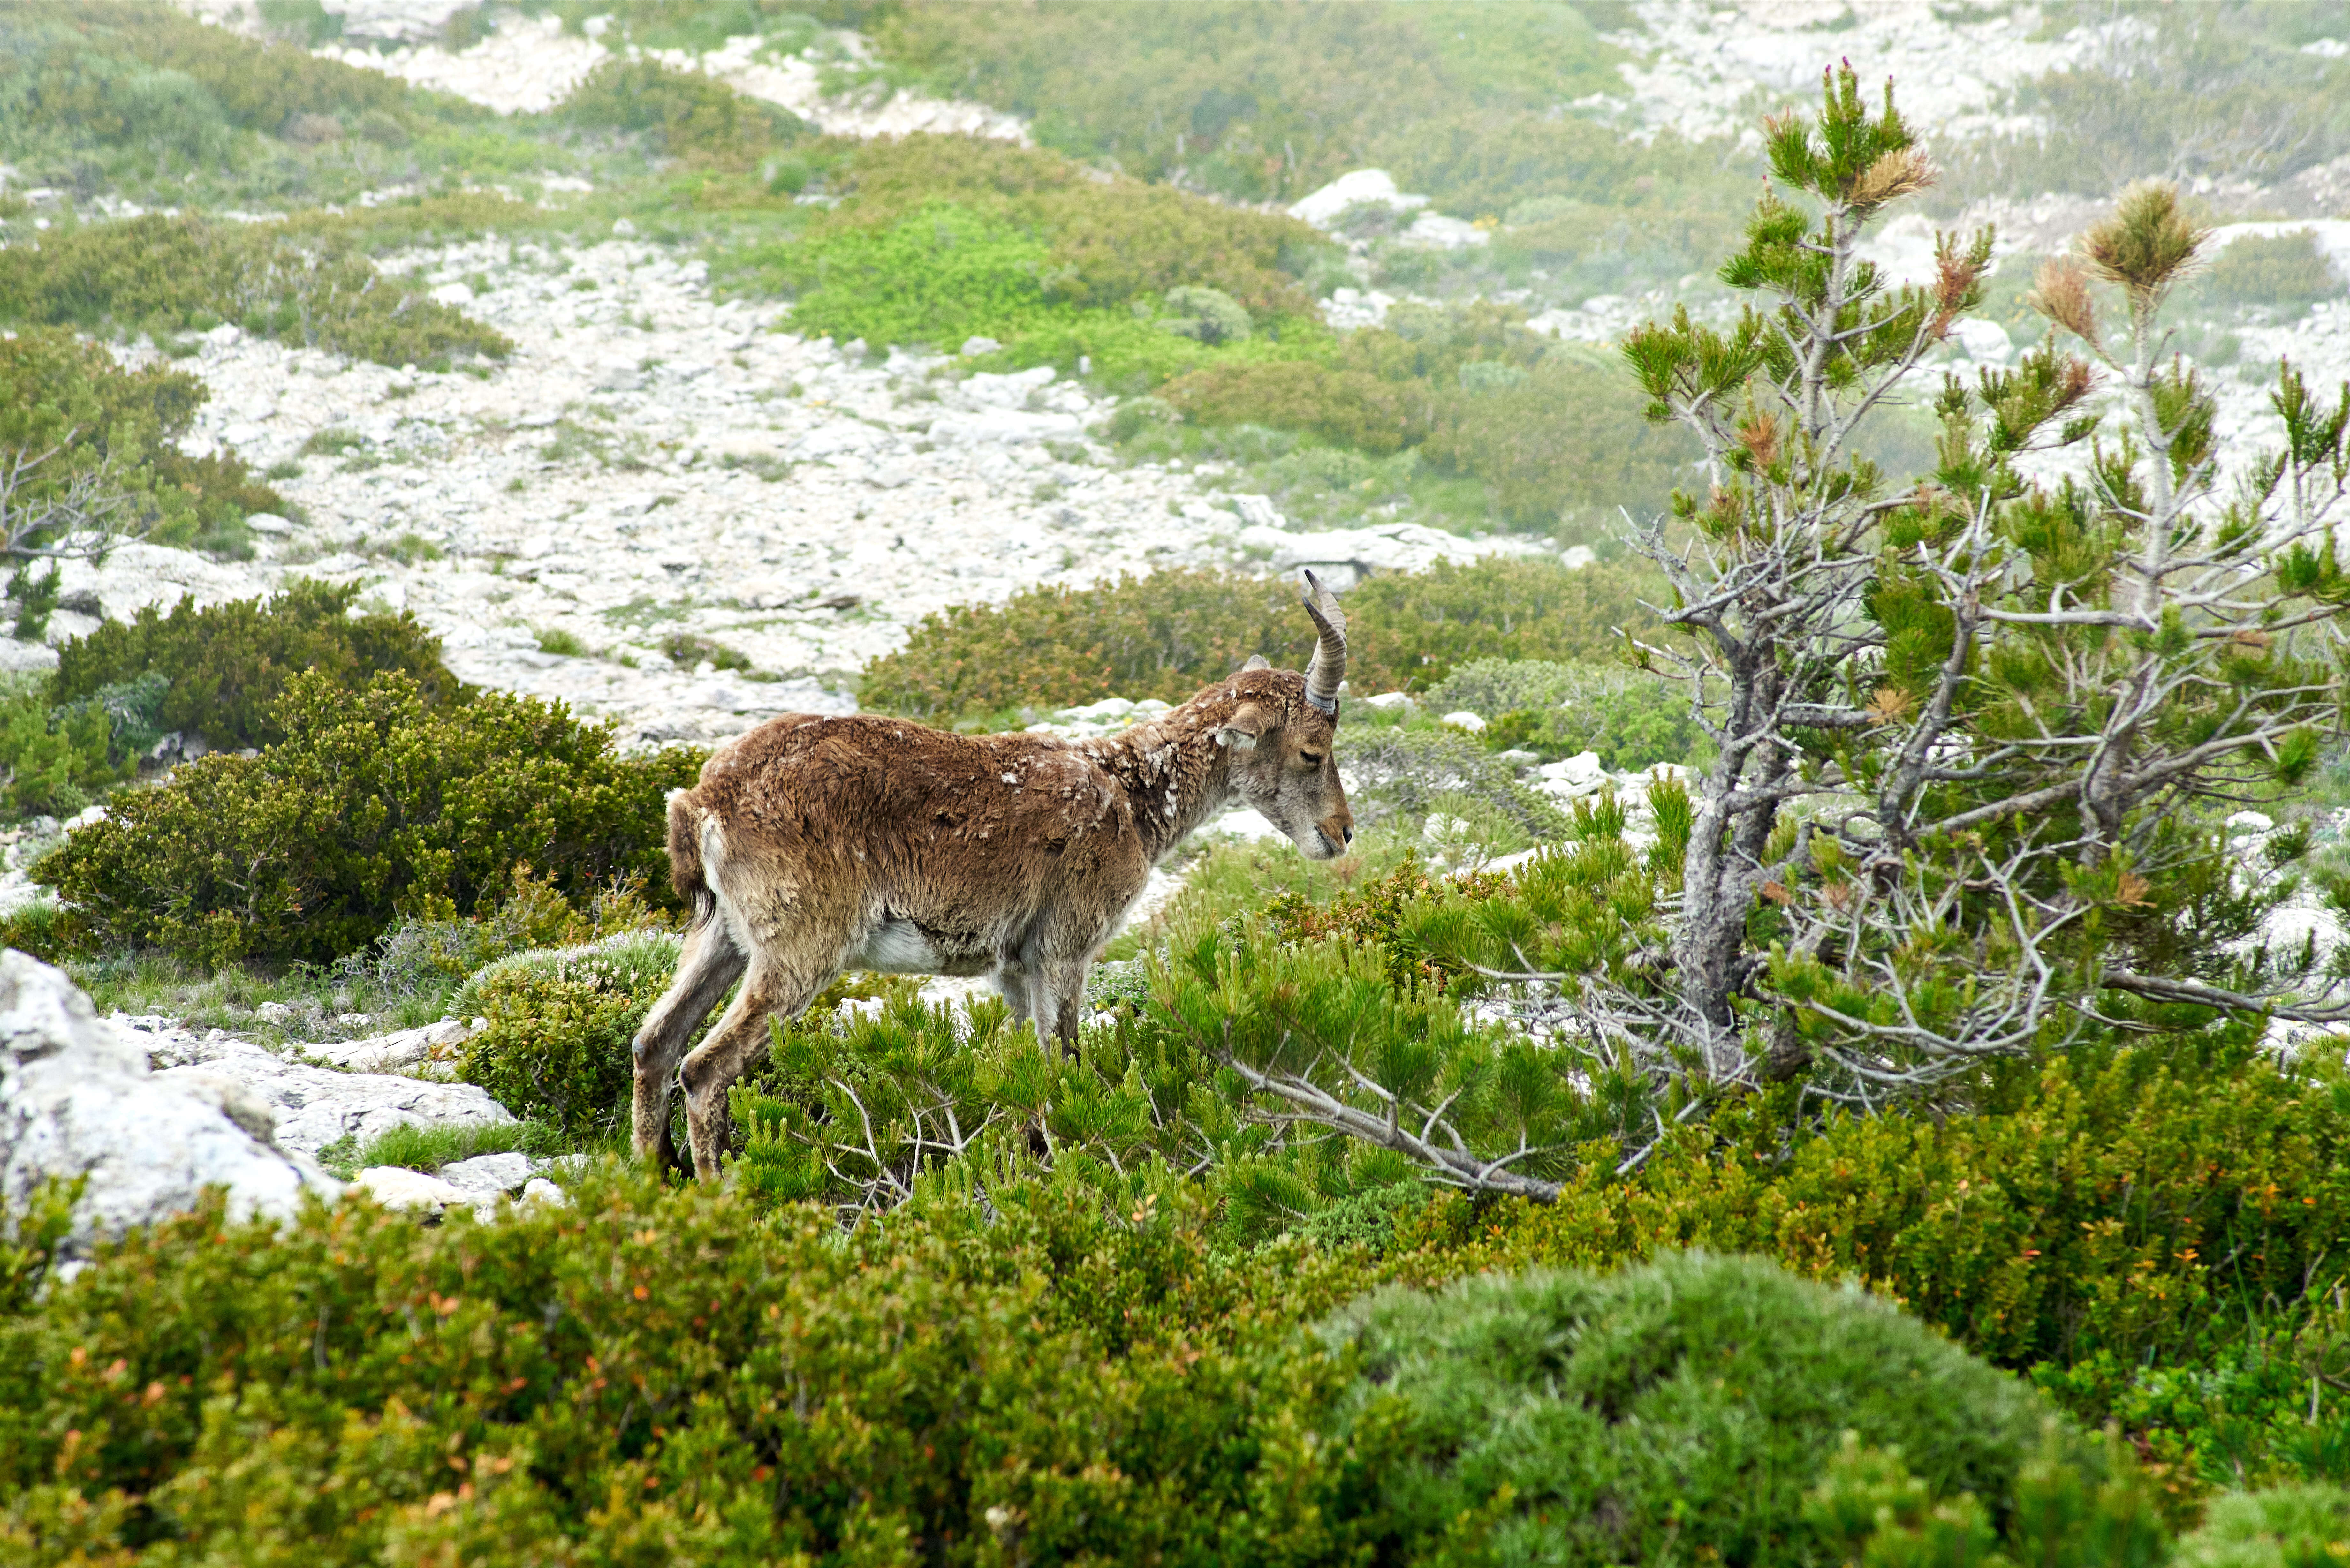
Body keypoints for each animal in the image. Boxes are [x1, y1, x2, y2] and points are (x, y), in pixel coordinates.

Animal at [634, 571, 1363, 1171]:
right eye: (1311, 750)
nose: (1341, 832)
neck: (1132, 794)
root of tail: (704, 801)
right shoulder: (1066, 946)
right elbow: (1064, 1061)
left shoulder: (1012, 967)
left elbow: (1025, 1074)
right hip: (801, 946)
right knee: (702, 1068)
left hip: (723, 936)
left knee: (654, 1045)